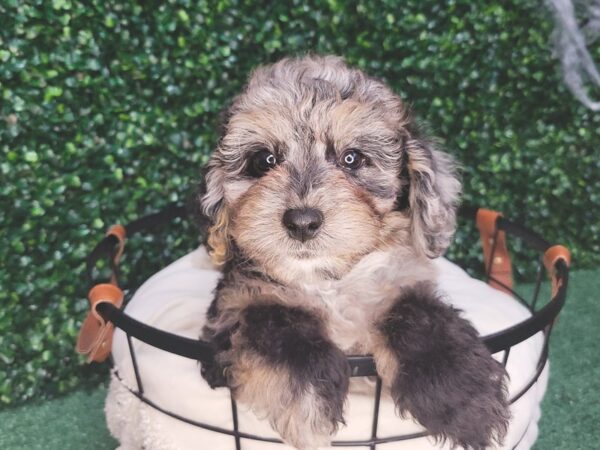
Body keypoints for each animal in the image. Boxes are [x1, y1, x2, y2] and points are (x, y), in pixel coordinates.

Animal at [196, 54, 506, 448]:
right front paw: (310, 408)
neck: (328, 279)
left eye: (352, 159)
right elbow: (276, 323)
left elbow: (418, 317)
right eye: (264, 159)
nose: (302, 221)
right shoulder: (235, 303)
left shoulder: (402, 280)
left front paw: (464, 399)